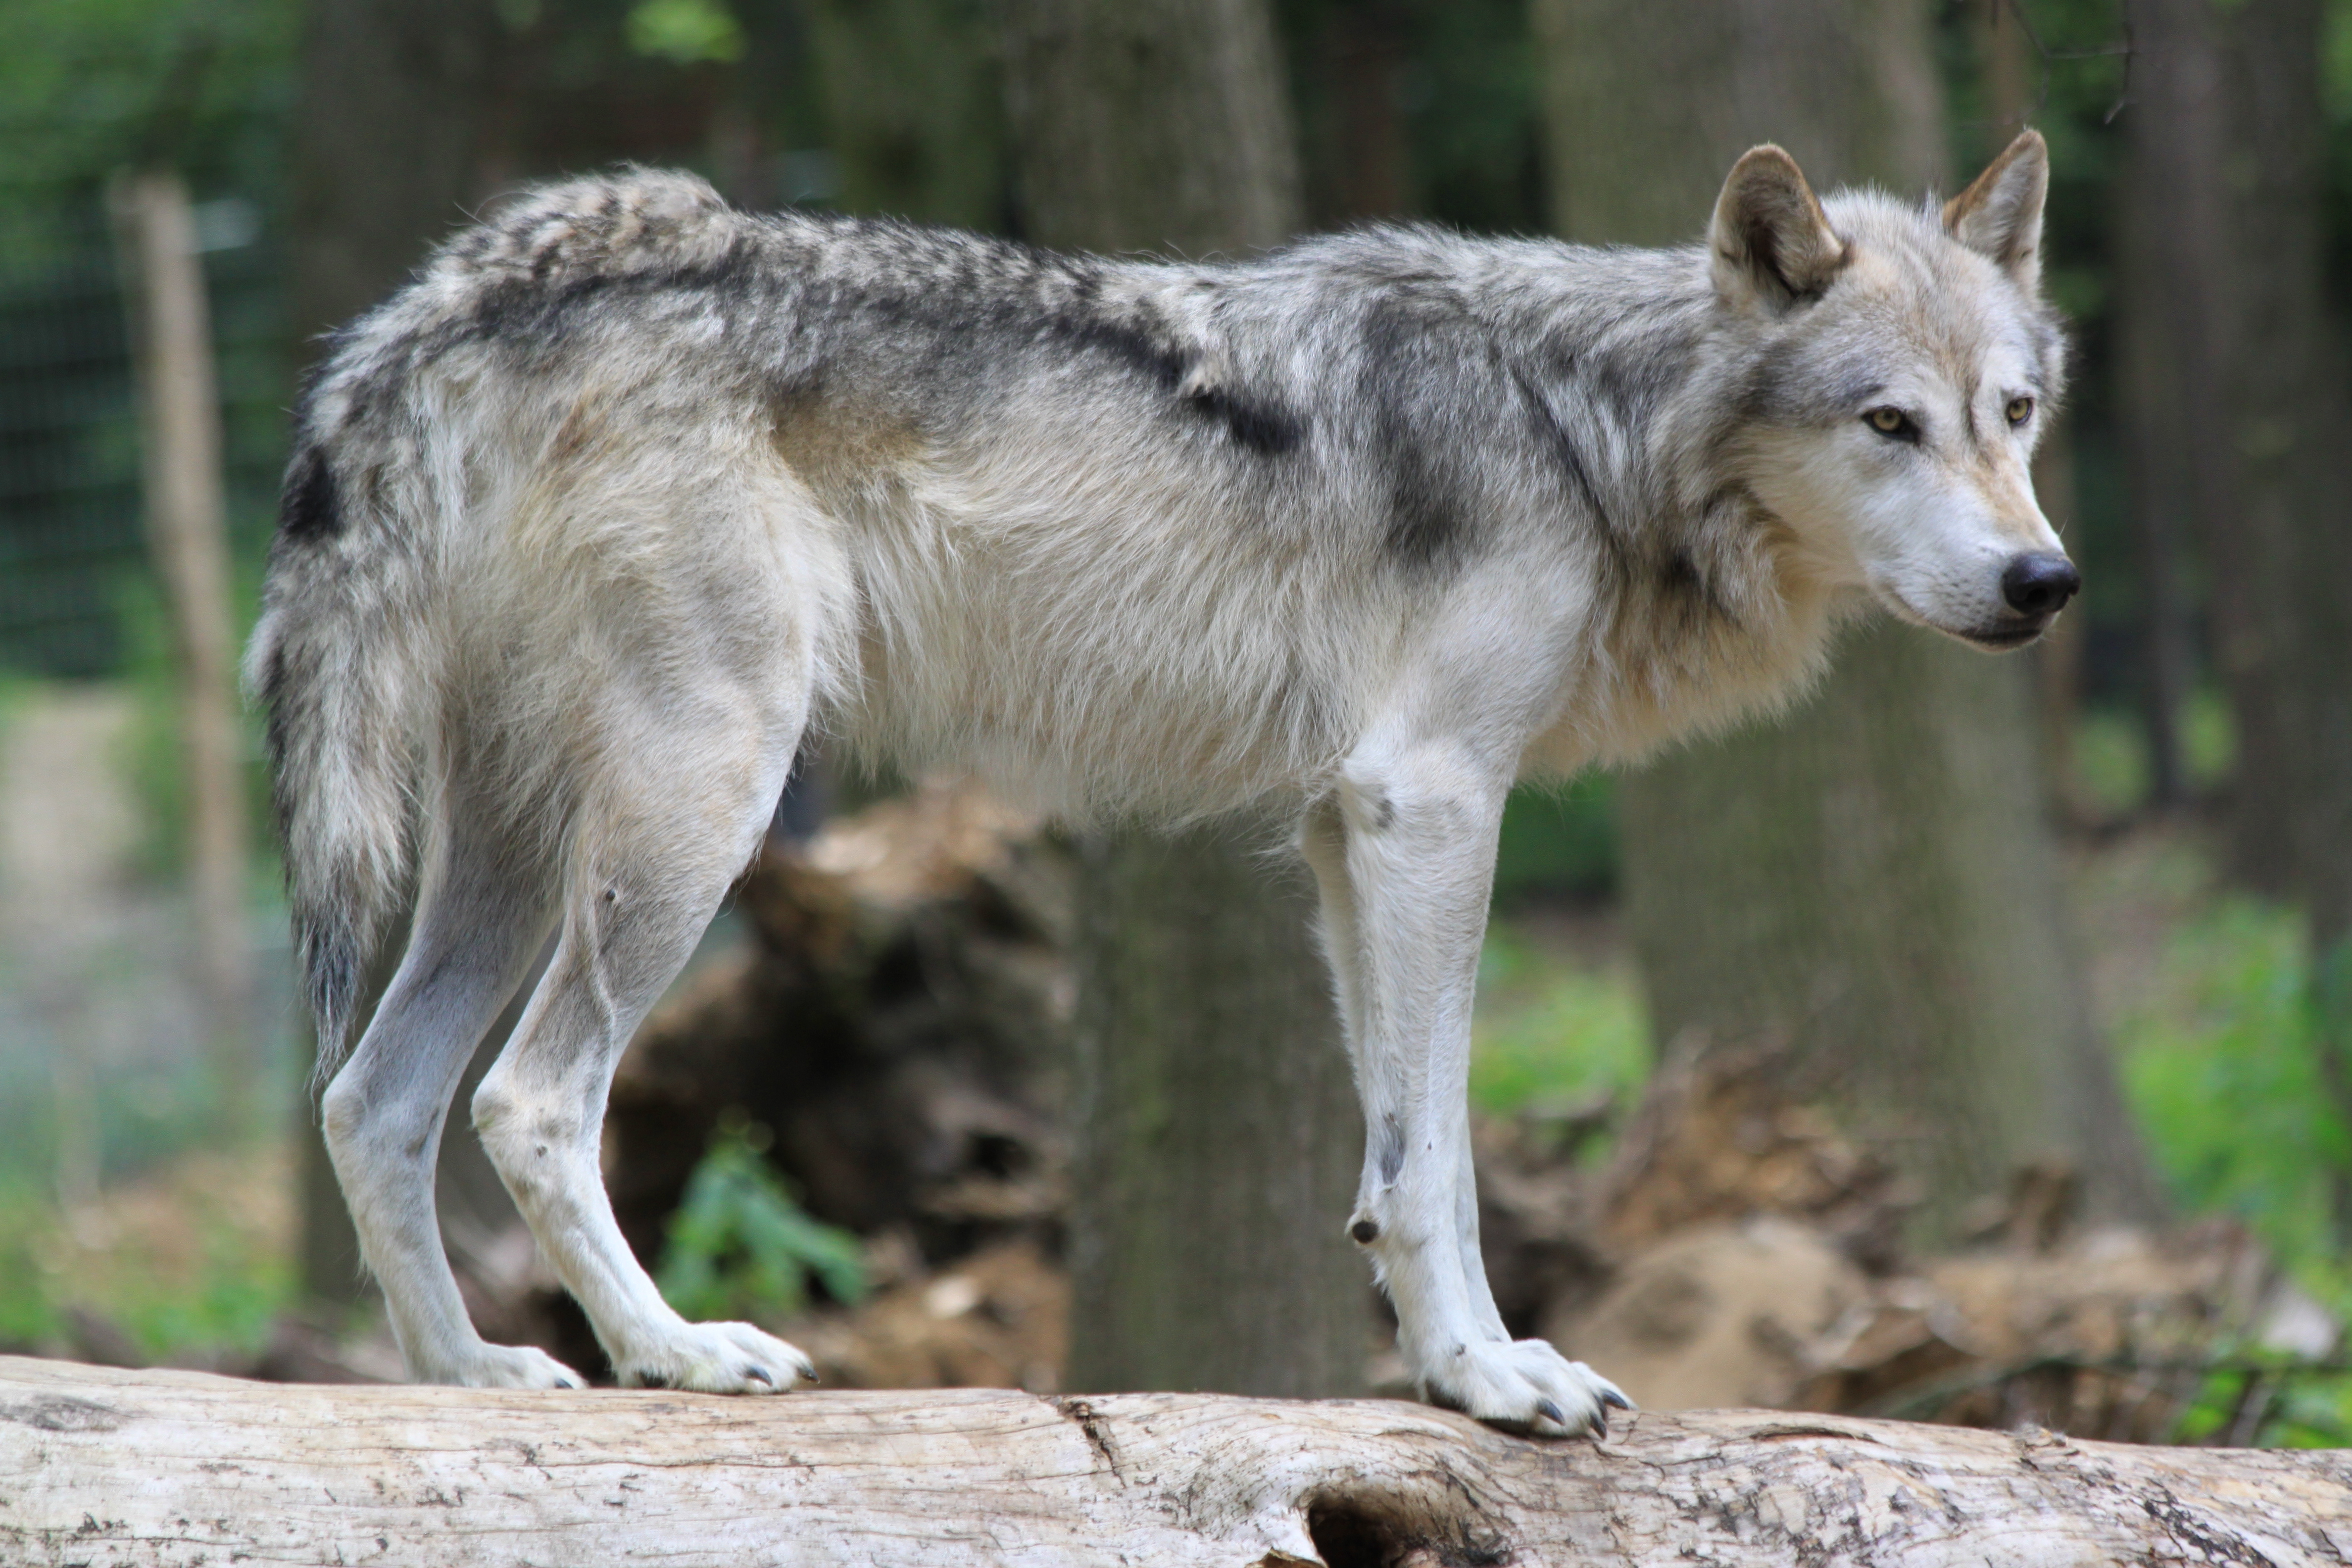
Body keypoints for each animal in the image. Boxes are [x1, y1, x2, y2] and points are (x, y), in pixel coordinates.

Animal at [248, 129, 2069, 1438]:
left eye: (2016, 413)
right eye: (1887, 423)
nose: (2044, 581)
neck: (1583, 426)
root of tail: (500, 280)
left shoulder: (1346, 831)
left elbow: (1390, 1160)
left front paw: (1440, 1371)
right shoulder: (1429, 805)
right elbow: (1444, 1160)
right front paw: (1498, 1381)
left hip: (514, 853)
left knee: (372, 1099)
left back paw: (469, 1379)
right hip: (694, 815)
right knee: (528, 1100)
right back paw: (676, 1353)